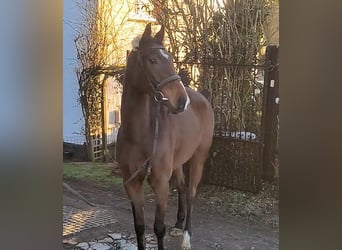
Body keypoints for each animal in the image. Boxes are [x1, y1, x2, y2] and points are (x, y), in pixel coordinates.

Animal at [117, 23, 214, 248]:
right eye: (153, 60)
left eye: (169, 58)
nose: (182, 101)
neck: (139, 135)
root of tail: (201, 98)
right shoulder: (131, 183)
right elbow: (140, 227)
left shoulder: (161, 183)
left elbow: (158, 228)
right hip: (178, 161)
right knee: (181, 186)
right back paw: (178, 226)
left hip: (199, 158)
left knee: (191, 193)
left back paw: (186, 236)